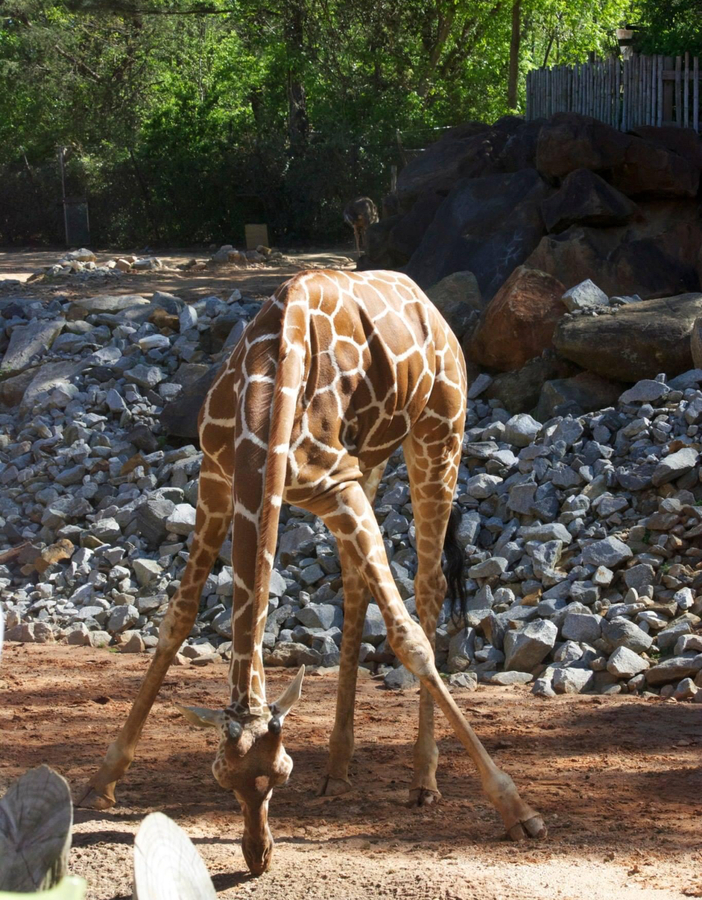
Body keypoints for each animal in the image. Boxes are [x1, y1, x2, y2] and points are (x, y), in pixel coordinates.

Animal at [75, 269, 546, 875]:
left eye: (280, 775)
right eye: (222, 779)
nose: (257, 856)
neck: (265, 393)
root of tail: (425, 300)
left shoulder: (334, 484)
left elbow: (408, 639)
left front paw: (517, 809)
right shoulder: (220, 477)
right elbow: (177, 618)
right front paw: (102, 780)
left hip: (441, 433)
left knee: (428, 584)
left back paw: (423, 780)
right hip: (369, 459)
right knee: (355, 578)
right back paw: (339, 768)